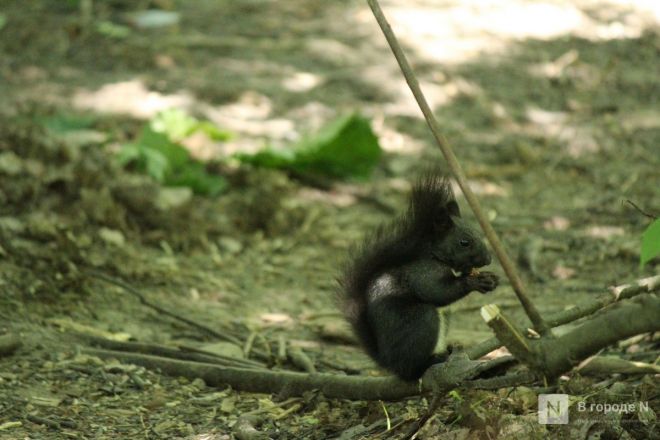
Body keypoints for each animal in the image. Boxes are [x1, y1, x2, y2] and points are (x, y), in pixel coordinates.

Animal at [338, 174, 498, 380]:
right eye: (464, 242)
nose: (488, 259)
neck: (434, 254)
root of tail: (388, 363)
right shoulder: (421, 273)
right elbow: (436, 292)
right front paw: (475, 281)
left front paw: (491, 279)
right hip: (422, 320)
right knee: (411, 368)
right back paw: (429, 363)